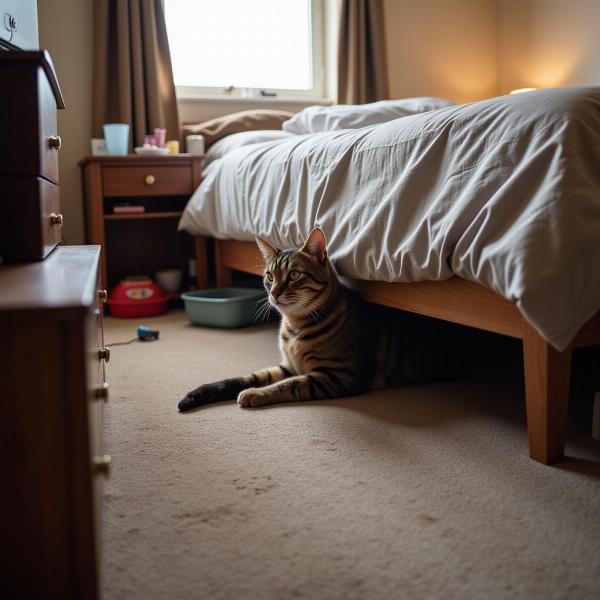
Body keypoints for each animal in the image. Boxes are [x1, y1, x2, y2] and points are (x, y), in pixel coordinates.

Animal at [176, 226, 458, 412]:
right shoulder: (287, 365)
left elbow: (288, 385)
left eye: (293, 275)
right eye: (269, 276)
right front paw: (198, 394)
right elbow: (244, 377)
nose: (274, 292)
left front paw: (255, 394)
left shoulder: (338, 375)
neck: (294, 326)